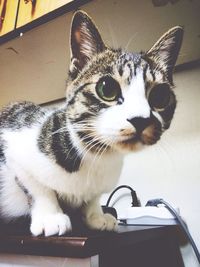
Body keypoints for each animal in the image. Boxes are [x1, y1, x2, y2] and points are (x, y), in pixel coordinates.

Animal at [0, 9, 183, 237]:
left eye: (160, 96)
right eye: (107, 88)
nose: (140, 120)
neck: (98, 156)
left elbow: (94, 196)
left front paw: (95, 216)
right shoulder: (14, 136)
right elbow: (38, 188)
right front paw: (50, 216)